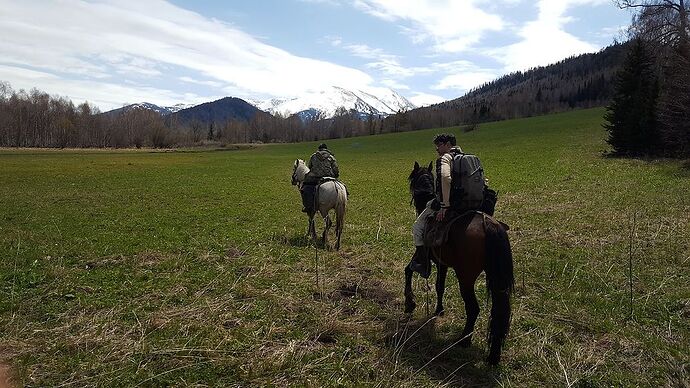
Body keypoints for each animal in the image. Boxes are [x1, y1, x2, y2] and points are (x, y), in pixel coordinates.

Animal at [404, 160, 510, 364]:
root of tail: (488, 224)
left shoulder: (423, 257)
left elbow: (408, 270)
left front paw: (409, 303)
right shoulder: (442, 264)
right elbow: (440, 286)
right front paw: (438, 310)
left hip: (466, 278)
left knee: (473, 308)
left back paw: (464, 340)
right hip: (497, 280)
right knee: (499, 310)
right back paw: (493, 355)